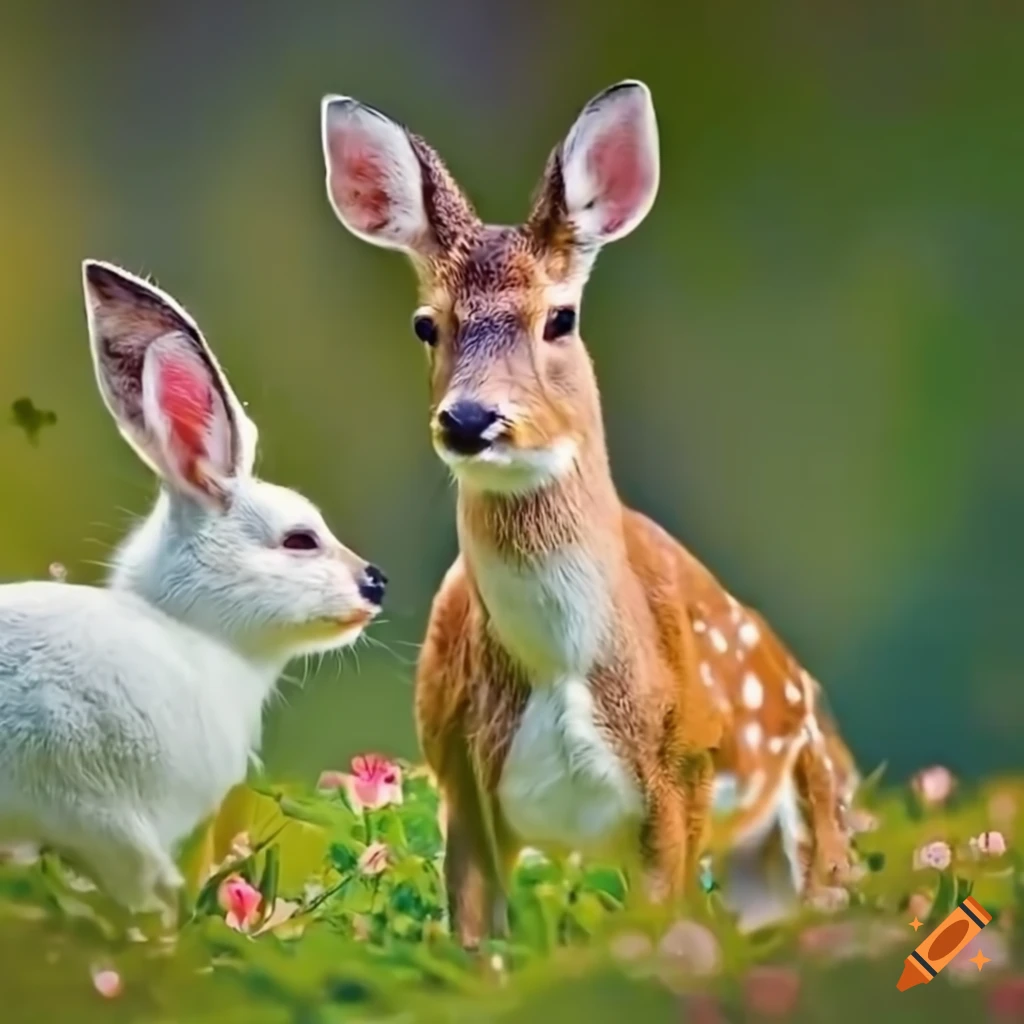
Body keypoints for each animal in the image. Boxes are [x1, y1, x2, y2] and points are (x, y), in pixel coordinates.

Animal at [320, 80, 855, 947]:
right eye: (426, 323)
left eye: (560, 318)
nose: (470, 419)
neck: (563, 664)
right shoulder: (457, 773)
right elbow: (477, 940)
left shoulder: (684, 770)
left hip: (817, 791)